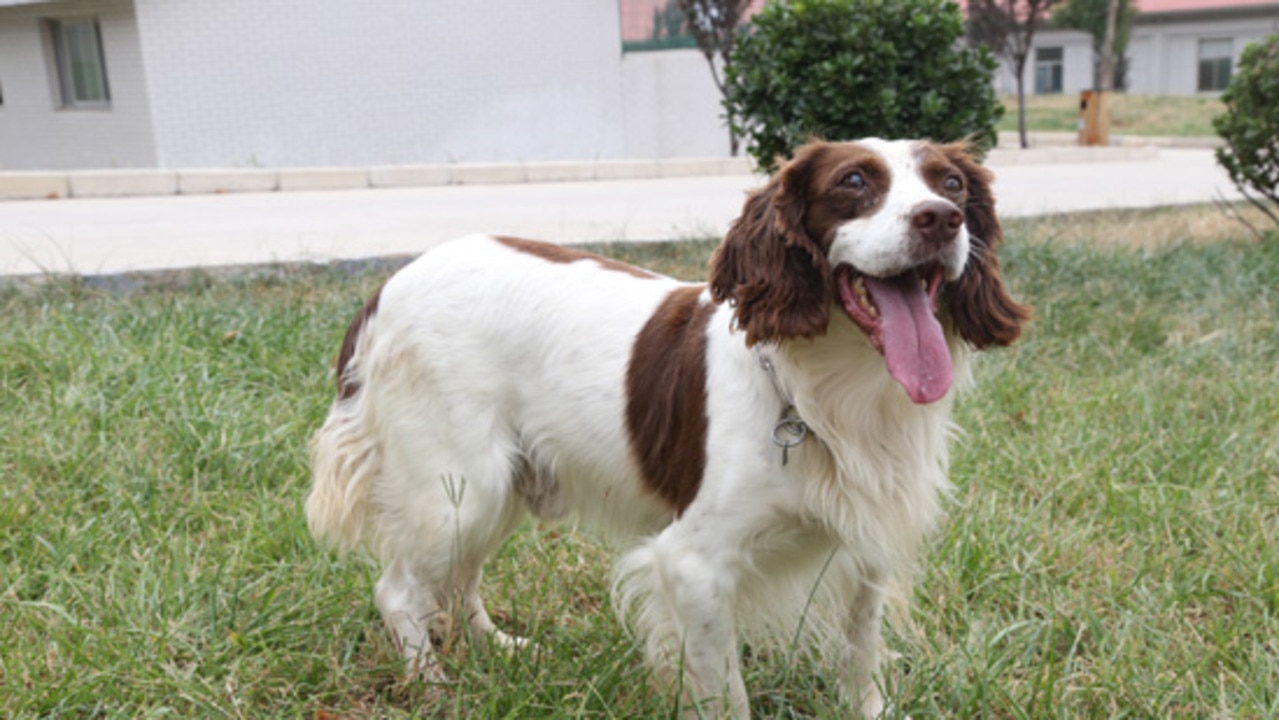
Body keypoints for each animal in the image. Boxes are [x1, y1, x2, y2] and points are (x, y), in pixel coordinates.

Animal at [306, 139, 1028, 716]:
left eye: (951, 184)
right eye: (853, 182)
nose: (941, 219)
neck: (828, 387)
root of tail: (388, 286)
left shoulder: (865, 547)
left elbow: (860, 662)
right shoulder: (693, 566)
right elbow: (727, 694)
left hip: (500, 484)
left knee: (457, 581)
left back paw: (501, 650)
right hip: (457, 487)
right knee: (399, 589)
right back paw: (434, 688)